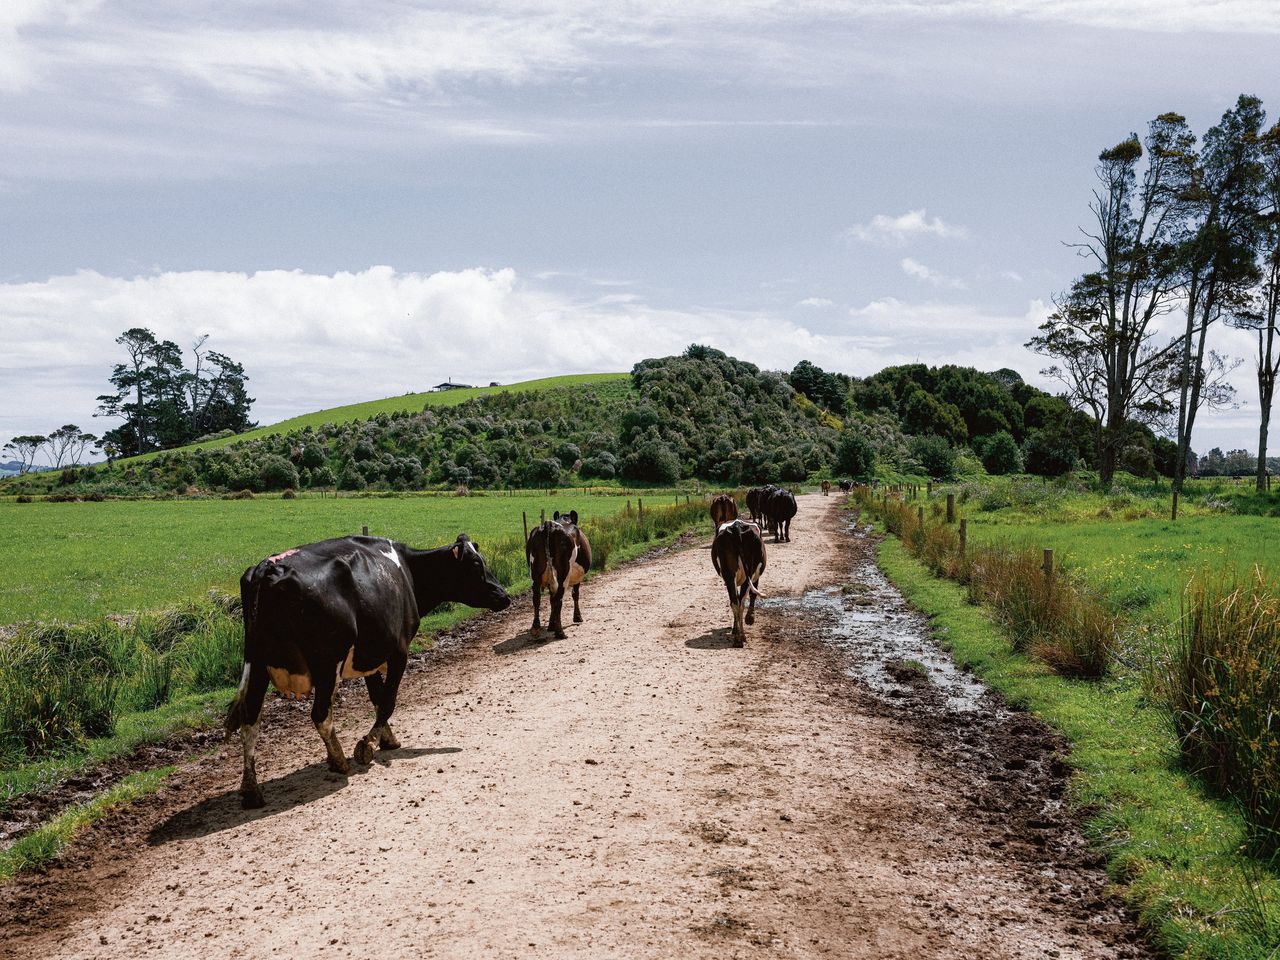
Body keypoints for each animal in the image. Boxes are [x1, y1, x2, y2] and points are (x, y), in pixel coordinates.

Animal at [225, 537, 509, 808]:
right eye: (476, 564)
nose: (504, 595)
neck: (407, 571)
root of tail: (270, 566)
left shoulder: (369, 656)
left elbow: (377, 697)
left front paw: (387, 738)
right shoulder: (398, 652)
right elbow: (388, 701)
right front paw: (367, 744)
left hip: (257, 665)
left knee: (250, 721)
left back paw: (251, 790)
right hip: (327, 664)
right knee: (320, 714)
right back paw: (339, 760)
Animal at [527, 506, 591, 642]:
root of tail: (549, 525)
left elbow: (551, 599)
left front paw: (551, 624)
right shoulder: (577, 577)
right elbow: (575, 594)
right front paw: (577, 617)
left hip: (534, 574)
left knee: (536, 598)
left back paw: (535, 629)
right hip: (563, 574)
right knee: (558, 599)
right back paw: (560, 632)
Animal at [711, 519, 768, 647]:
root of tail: (737, 526)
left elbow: (735, 598)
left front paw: (734, 627)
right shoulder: (755, 576)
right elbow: (752, 594)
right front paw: (750, 618)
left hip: (729, 575)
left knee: (735, 602)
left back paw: (738, 638)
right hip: (749, 573)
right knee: (741, 601)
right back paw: (741, 637)